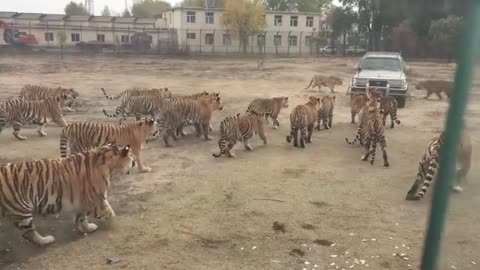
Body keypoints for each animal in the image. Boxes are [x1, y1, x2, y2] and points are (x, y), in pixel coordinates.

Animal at [0, 144, 135, 246]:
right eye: (132, 156)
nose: (134, 163)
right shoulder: (98, 199)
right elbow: (110, 213)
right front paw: (117, 226)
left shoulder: (83, 201)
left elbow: (82, 218)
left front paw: (87, 228)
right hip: (22, 211)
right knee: (29, 233)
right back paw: (45, 240)